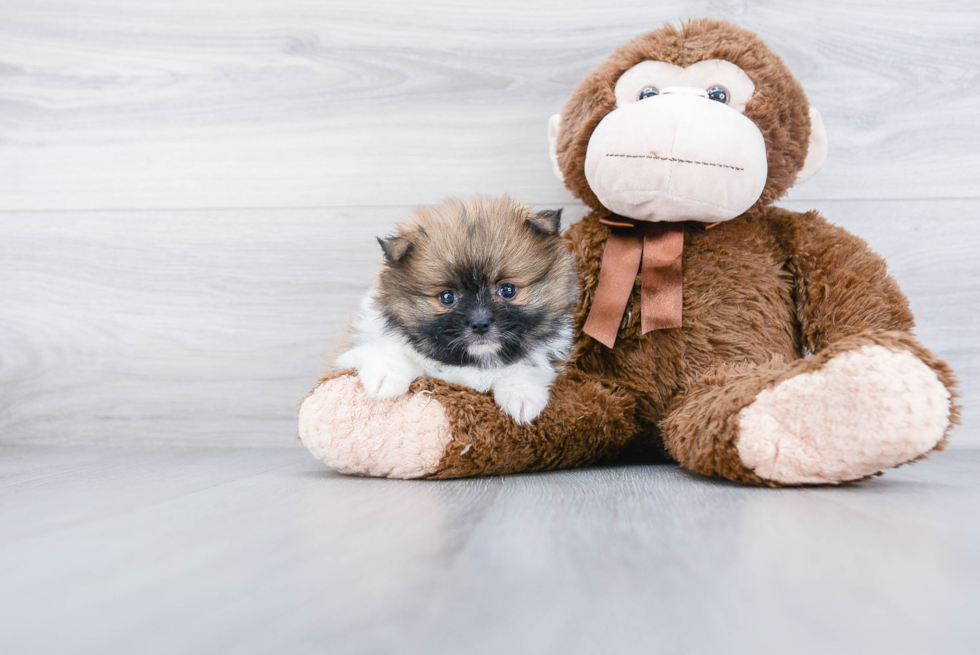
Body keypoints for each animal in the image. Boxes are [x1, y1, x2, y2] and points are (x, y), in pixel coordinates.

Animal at [336, 195, 580, 426]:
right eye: (447, 297)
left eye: (507, 290)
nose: (480, 323)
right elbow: (392, 351)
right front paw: (385, 376)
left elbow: (527, 367)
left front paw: (521, 395)